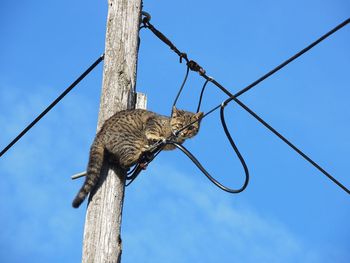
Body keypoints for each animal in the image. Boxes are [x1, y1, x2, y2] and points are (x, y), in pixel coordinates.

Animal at [71, 106, 204, 208]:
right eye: (181, 125)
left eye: (191, 127)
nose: (185, 132)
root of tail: (100, 133)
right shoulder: (153, 121)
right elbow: (152, 130)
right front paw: (155, 137)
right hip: (132, 141)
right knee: (125, 160)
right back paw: (140, 154)